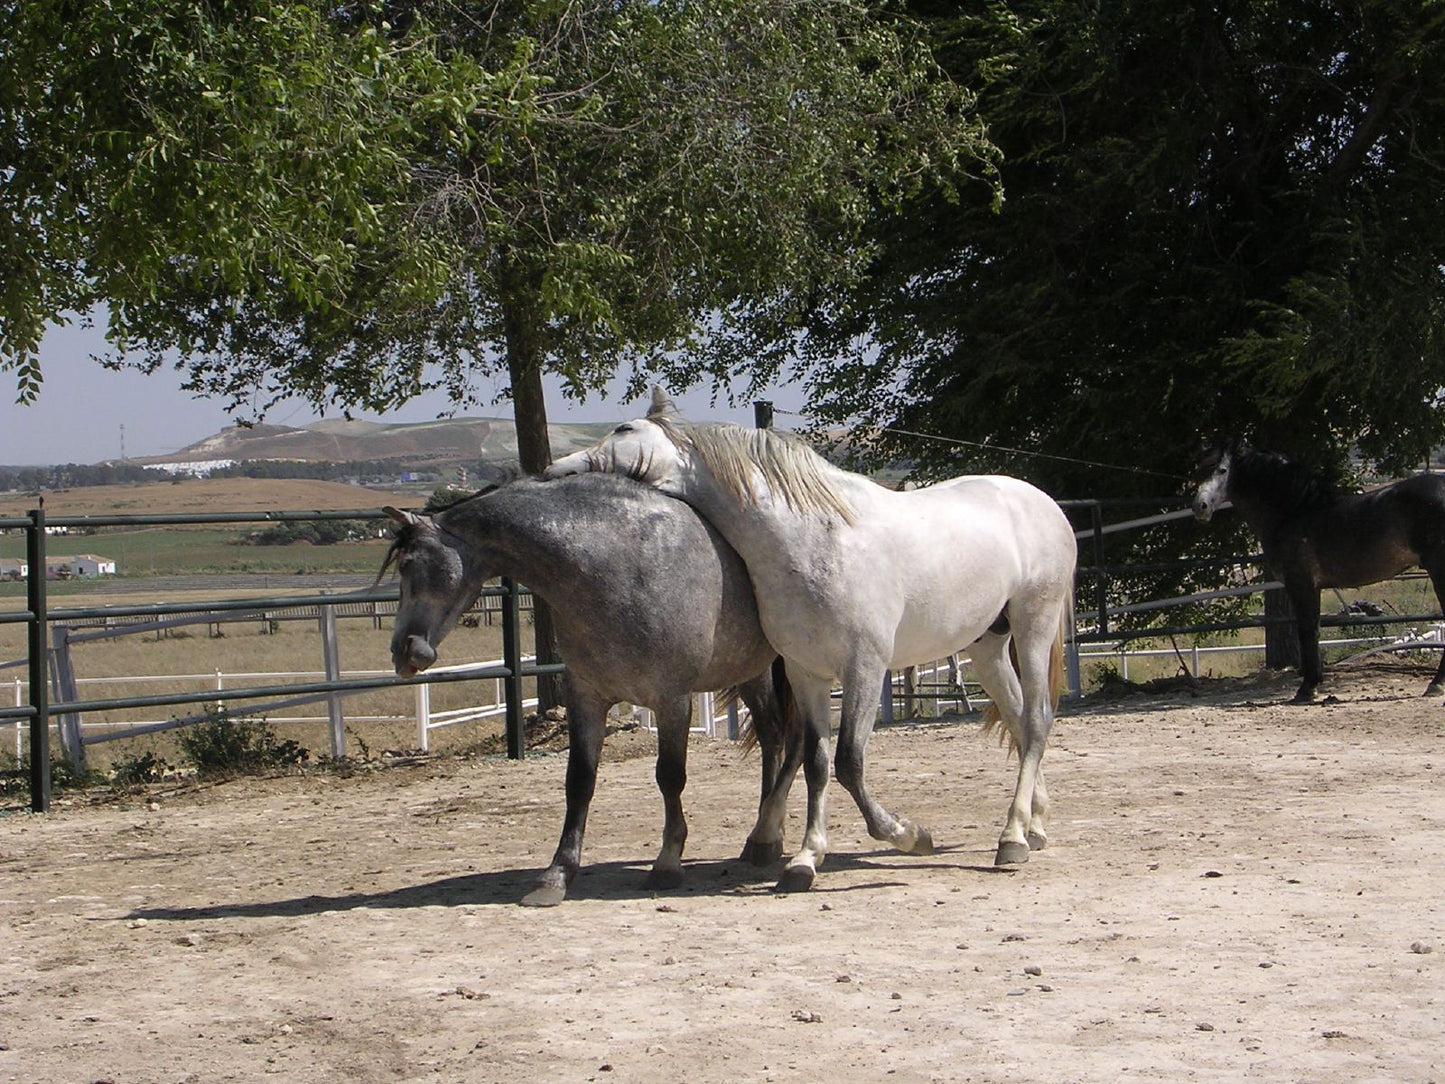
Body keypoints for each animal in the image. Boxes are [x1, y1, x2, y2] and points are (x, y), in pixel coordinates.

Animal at [380, 472, 802, 906]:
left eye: (409, 565)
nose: (404, 651)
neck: (619, 566)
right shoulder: (585, 698)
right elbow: (579, 781)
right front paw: (557, 874)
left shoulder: (672, 701)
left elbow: (670, 776)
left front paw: (667, 862)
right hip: (750, 672)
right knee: (771, 736)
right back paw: (764, 837)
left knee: (782, 738)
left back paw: (766, 839)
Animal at [546, 388, 1077, 890]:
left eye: (624, 428)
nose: (554, 469)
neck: (818, 540)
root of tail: (1044, 503)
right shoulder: (807, 673)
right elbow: (818, 762)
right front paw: (804, 860)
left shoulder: (863, 669)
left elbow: (848, 763)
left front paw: (909, 835)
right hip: (987, 646)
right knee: (1018, 717)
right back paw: (1034, 826)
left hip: (1033, 624)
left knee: (1035, 721)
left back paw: (1011, 840)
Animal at [1191, 438, 1445, 702]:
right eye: (1197, 471)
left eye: (1222, 470)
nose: (1200, 507)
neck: (1293, 511)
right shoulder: (1313, 587)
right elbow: (1314, 630)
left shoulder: (1301, 583)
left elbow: (1307, 631)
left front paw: (1307, 688)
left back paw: (1435, 684)